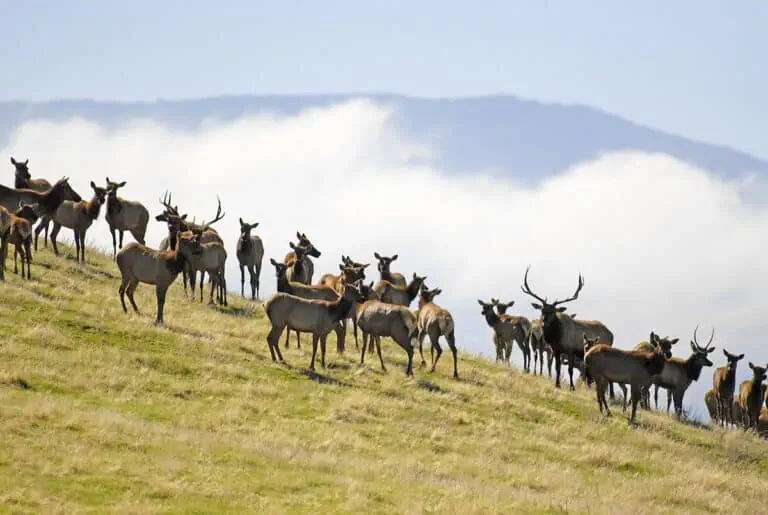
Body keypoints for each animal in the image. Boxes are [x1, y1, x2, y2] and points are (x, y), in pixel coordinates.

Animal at [520, 266, 616, 395]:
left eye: (553, 311)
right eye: (542, 310)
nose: (543, 321)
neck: (557, 337)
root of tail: (612, 335)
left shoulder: (570, 350)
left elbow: (570, 370)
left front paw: (572, 387)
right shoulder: (556, 350)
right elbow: (557, 368)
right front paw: (557, 385)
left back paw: (611, 395)